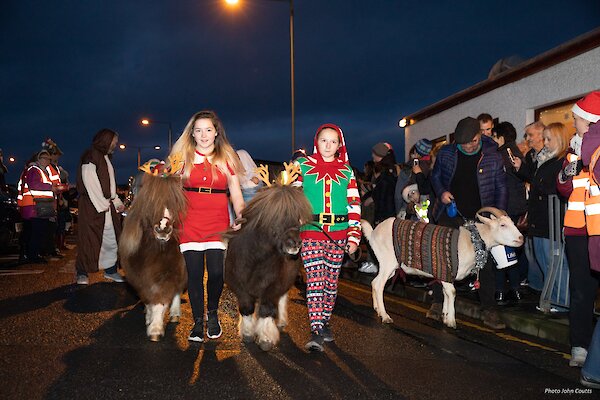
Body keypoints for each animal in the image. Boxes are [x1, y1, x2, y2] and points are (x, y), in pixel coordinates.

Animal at [119, 173, 188, 342]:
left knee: (176, 290)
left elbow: (160, 299)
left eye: (175, 202)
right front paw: (149, 317)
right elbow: (148, 298)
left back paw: (175, 313)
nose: (163, 228)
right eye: (151, 202)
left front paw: (155, 329)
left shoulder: (167, 272)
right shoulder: (139, 275)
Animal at [223, 184, 312, 350]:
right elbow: (246, 308)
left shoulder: (273, 287)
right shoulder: (240, 286)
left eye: (297, 218)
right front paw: (247, 333)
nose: (296, 244)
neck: (257, 259)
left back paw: (281, 322)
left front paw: (265, 339)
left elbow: (267, 309)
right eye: (276, 217)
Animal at [364, 206, 524, 328]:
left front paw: (446, 316)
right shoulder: (446, 269)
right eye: (502, 225)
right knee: (379, 284)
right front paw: (452, 321)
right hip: (388, 261)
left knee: (374, 282)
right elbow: (452, 292)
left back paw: (377, 309)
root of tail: (373, 233)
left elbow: (446, 293)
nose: (521, 238)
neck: (473, 240)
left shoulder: (445, 275)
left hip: (388, 265)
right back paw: (385, 316)